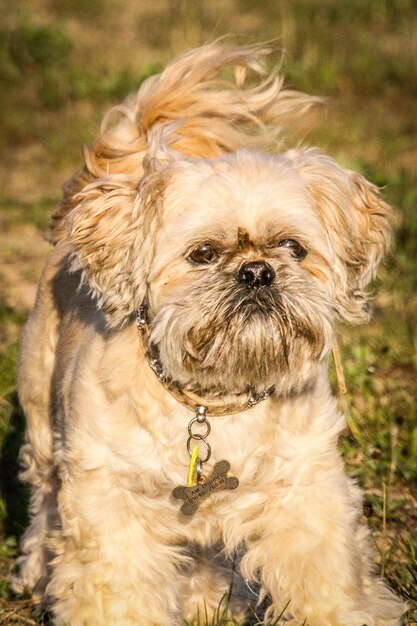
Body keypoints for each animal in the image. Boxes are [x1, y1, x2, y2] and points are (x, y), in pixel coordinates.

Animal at [12, 44, 404, 624]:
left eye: (293, 248)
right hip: (42, 424)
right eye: (203, 253)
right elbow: (118, 594)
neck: (214, 396)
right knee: (42, 505)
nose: (257, 272)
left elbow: (326, 583)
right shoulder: (112, 506)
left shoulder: (305, 494)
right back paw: (35, 572)